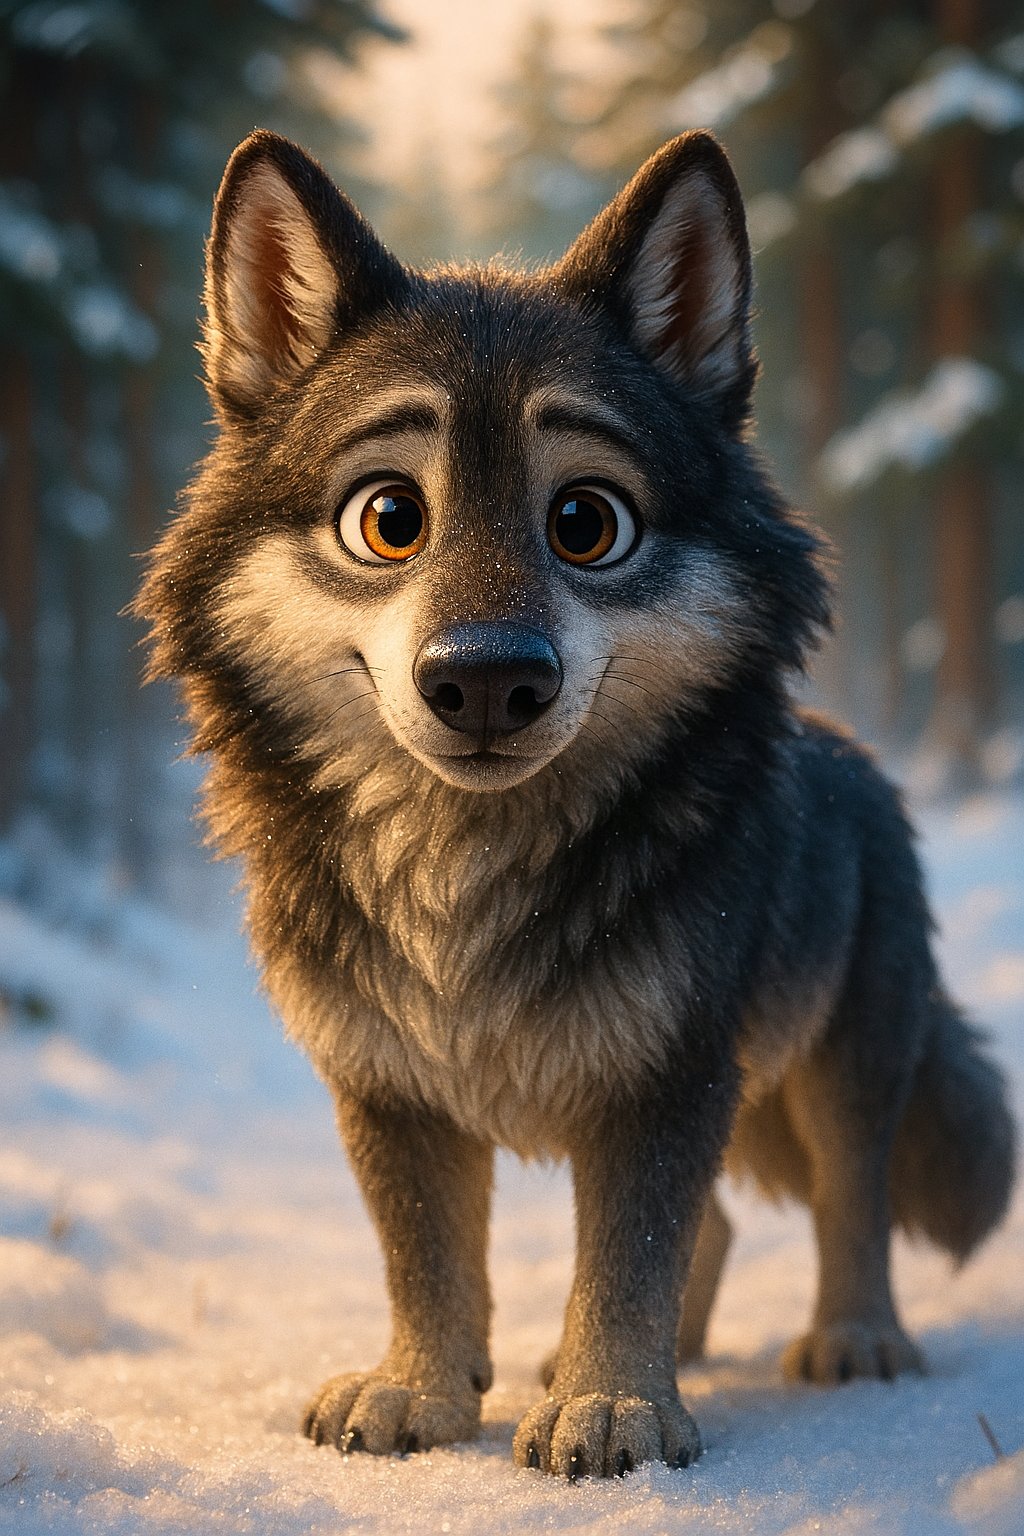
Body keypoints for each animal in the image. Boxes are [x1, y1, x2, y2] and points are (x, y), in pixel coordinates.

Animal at [137, 127, 1015, 1479]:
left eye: (586, 523)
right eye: (387, 518)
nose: (487, 682)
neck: (469, 871)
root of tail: (857, 756)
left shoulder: (665, 1075)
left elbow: (631, 1249)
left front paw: (613, 1409)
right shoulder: (386, 1084)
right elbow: (427, 1257)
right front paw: (426, 1390)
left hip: (844, 1065)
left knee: (849, 1202)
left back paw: (853, 1340)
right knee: (724, 1221)